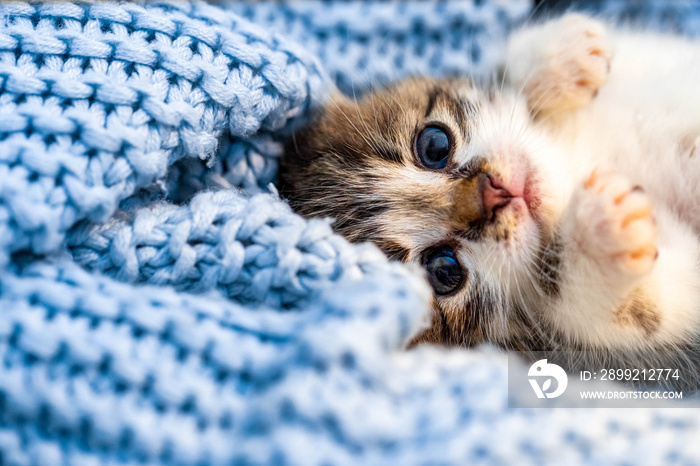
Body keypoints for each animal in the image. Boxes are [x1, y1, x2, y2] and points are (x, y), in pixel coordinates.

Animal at [278, 14, 700, 374]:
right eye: (444, 270)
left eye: (434, 145)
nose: (495, 194)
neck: (569, 164)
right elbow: (642, 308)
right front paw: (600, 233)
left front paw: (562, 52)